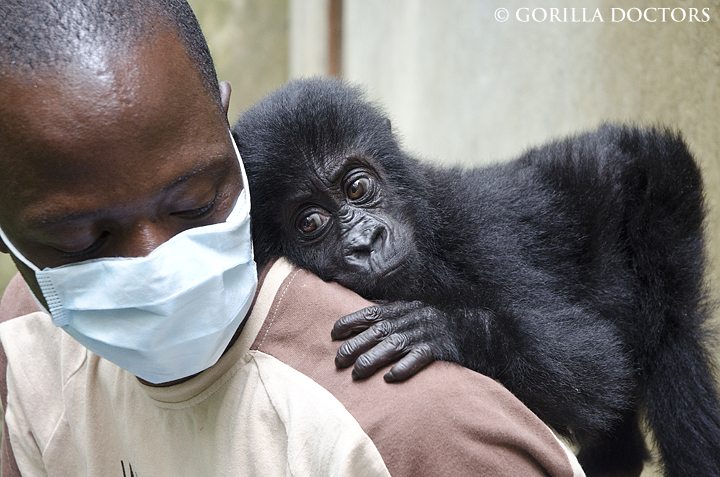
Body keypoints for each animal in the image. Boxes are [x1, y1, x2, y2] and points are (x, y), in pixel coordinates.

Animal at [235, 76, 720, 474]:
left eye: (356, 187)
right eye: (310, 222)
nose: (366, 242)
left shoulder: (479, 236)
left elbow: (598, 366)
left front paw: (449, 328)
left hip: (661, 188)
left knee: (672, 339)